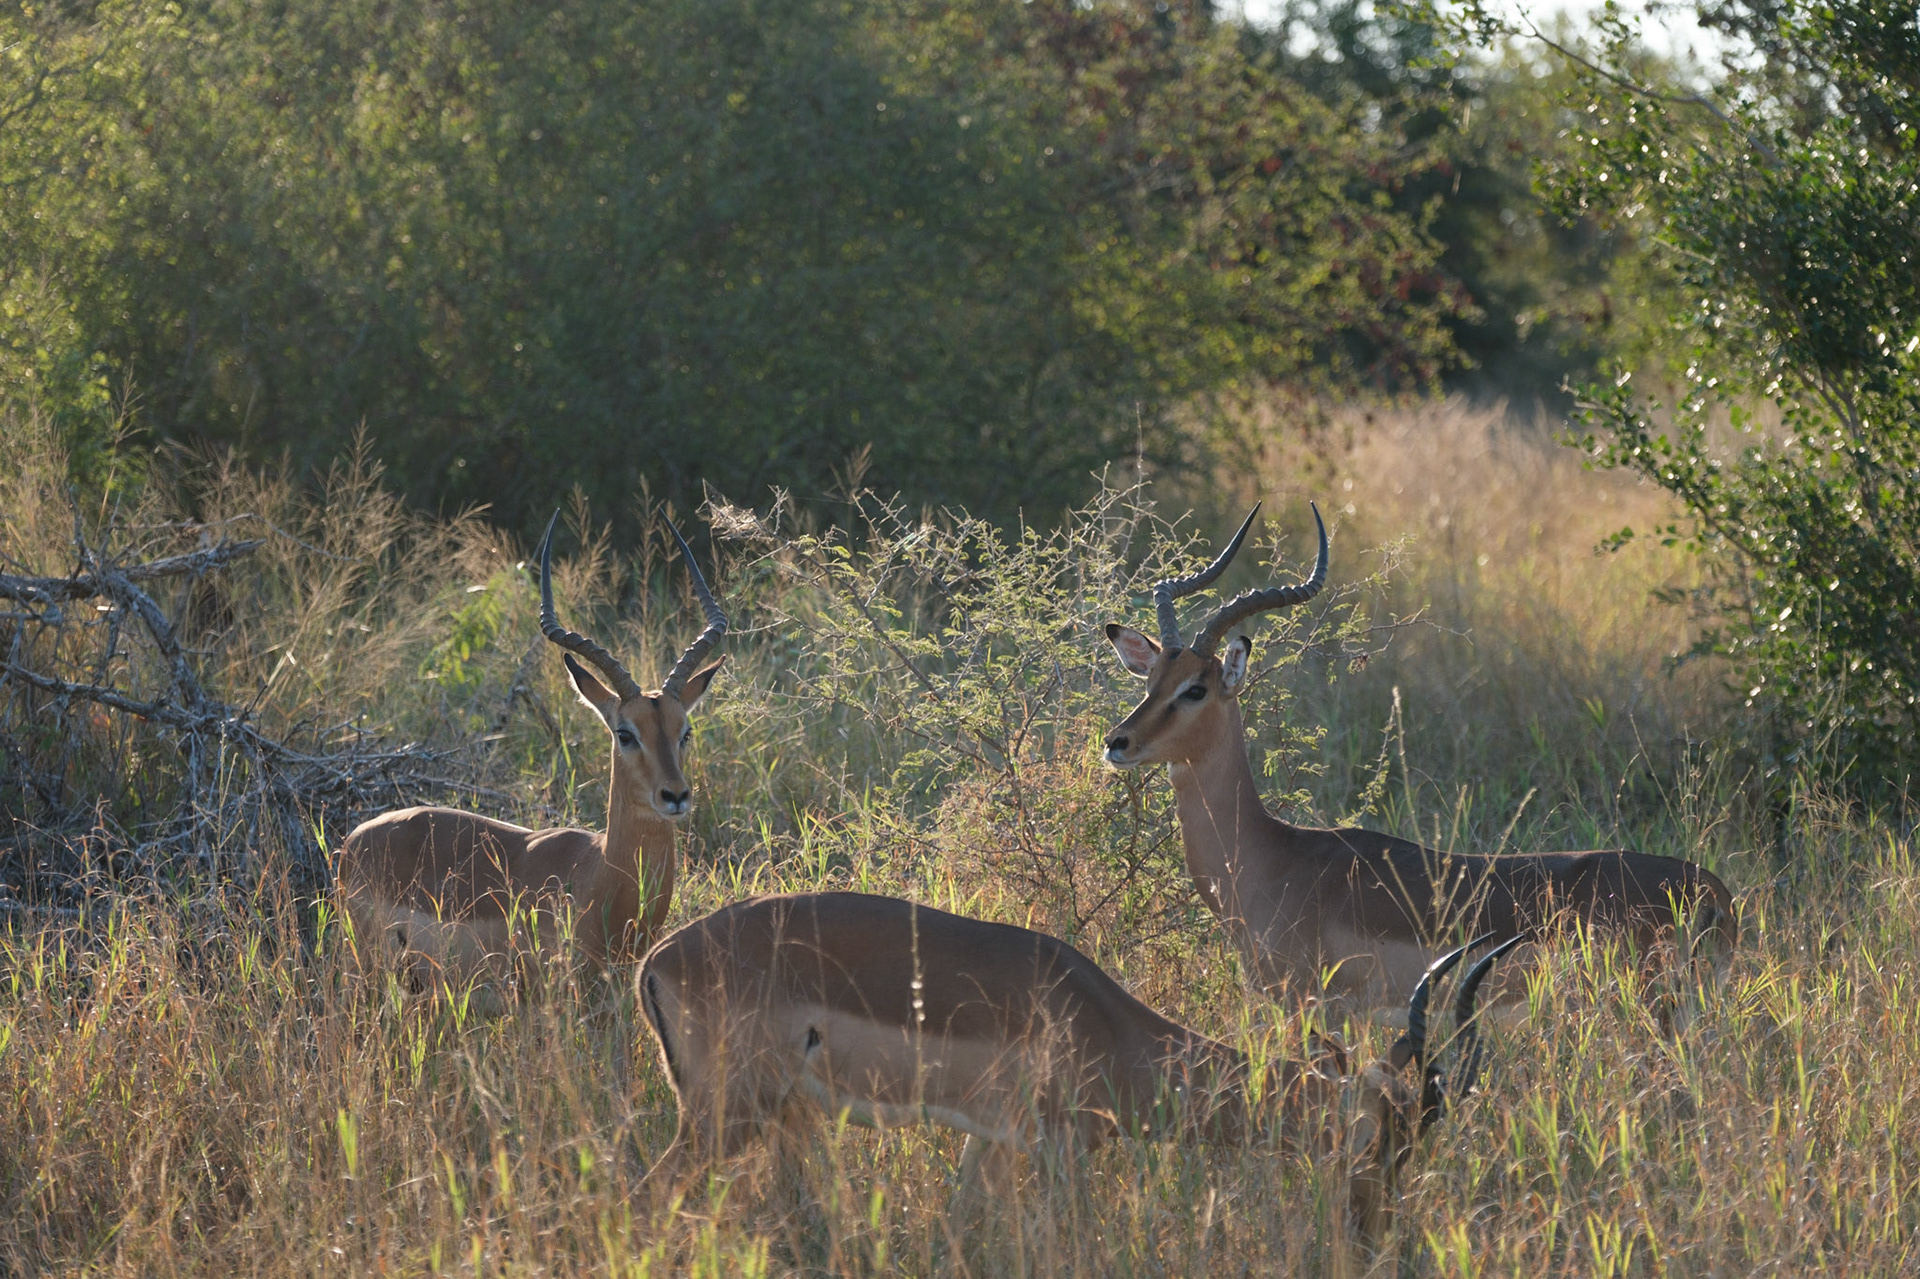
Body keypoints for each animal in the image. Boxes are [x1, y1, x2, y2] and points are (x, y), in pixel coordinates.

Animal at [636, 890, 1520, 1239]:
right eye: (1376, 1136)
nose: (1371, 1227)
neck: (1106, 1021)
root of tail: (658, 957)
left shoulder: (988, 1141)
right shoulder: (1065, 1150)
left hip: (772, 1117)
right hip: (723, 1116)